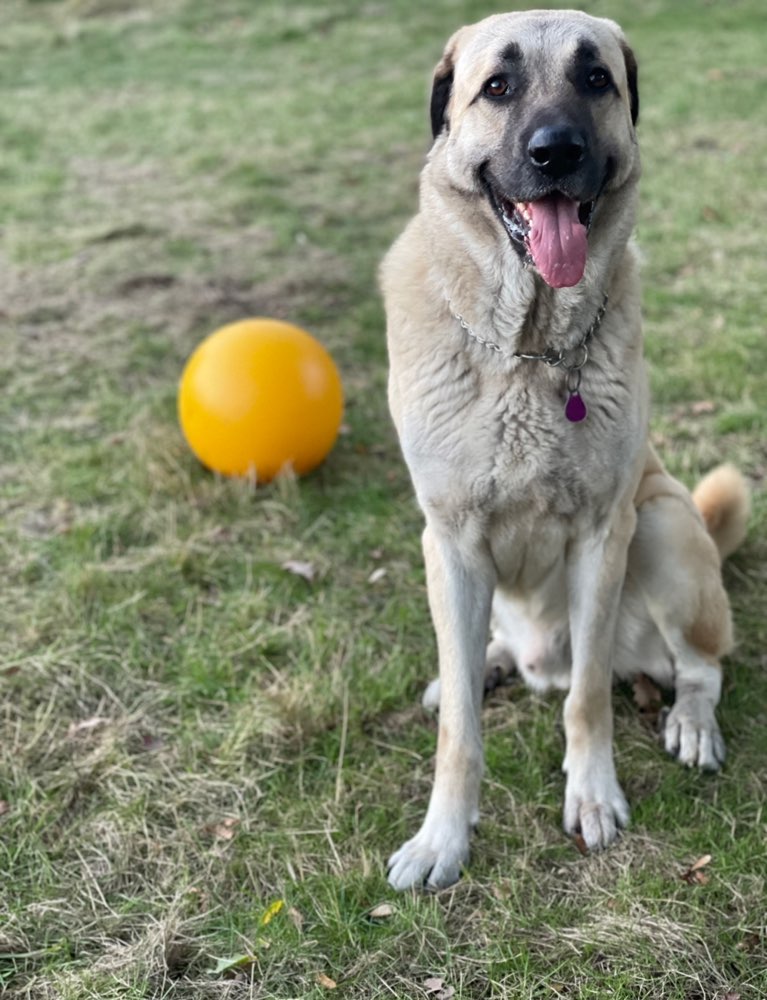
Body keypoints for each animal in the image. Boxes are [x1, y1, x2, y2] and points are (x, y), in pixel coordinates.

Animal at [380, 9, 748, 892]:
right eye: (496, 86)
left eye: (594, 80)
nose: (556, 153)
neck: (527, 348)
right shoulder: (447, 541)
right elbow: (460, 734)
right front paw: (443, 835)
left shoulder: (601, 535)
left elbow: (586, 698)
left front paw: (591, 796)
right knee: (481, 658)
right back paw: (479, 665)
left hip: (662, 526)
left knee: (701, 665)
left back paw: (689, 720)